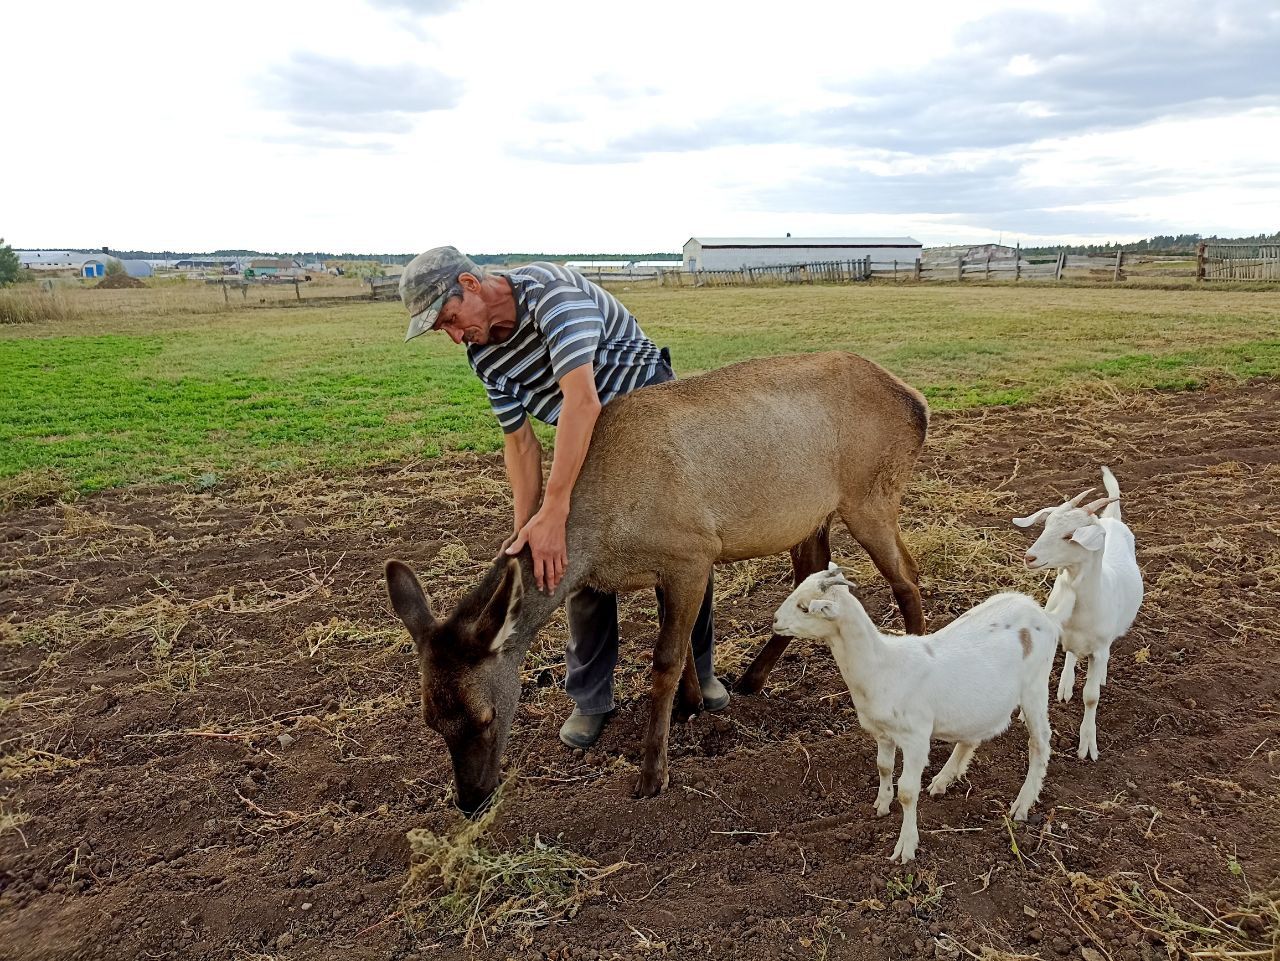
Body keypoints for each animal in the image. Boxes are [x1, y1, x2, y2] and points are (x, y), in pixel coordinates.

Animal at [384, 350, 926, 813]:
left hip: (872, 494)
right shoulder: (668, 568)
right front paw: (691, 707)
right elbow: (680, 645)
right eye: (430, 719)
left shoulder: (693, 551)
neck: (606, 535)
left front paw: (652, 774)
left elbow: (665, 658)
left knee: (907, 575)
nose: (471, 800)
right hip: (812, 516)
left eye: (486, 716)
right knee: (814, 578)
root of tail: (916, 402)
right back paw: (752, 677)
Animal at [768, 563, 1070, 865]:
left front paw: (906, 847)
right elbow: (883, 767)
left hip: (1035, 685)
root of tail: (1045, 615)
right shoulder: (882, 732)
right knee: (974, 734)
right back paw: (943, 779)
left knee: (1040, 741)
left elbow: (907, 792)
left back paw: (1022, 804)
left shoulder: (916, 738)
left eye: (805, 607)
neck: (882, 667)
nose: (775, 620)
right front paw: (881, 804)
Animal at [1013, 470, 1146, 762]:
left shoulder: (1099, 648)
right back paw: (1066, 683)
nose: (1030, 557)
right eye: (1046, 525)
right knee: (1072, 654)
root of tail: (1112, 520)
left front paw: (1087, 745)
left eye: (1069, 535)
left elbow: (1091, 697)